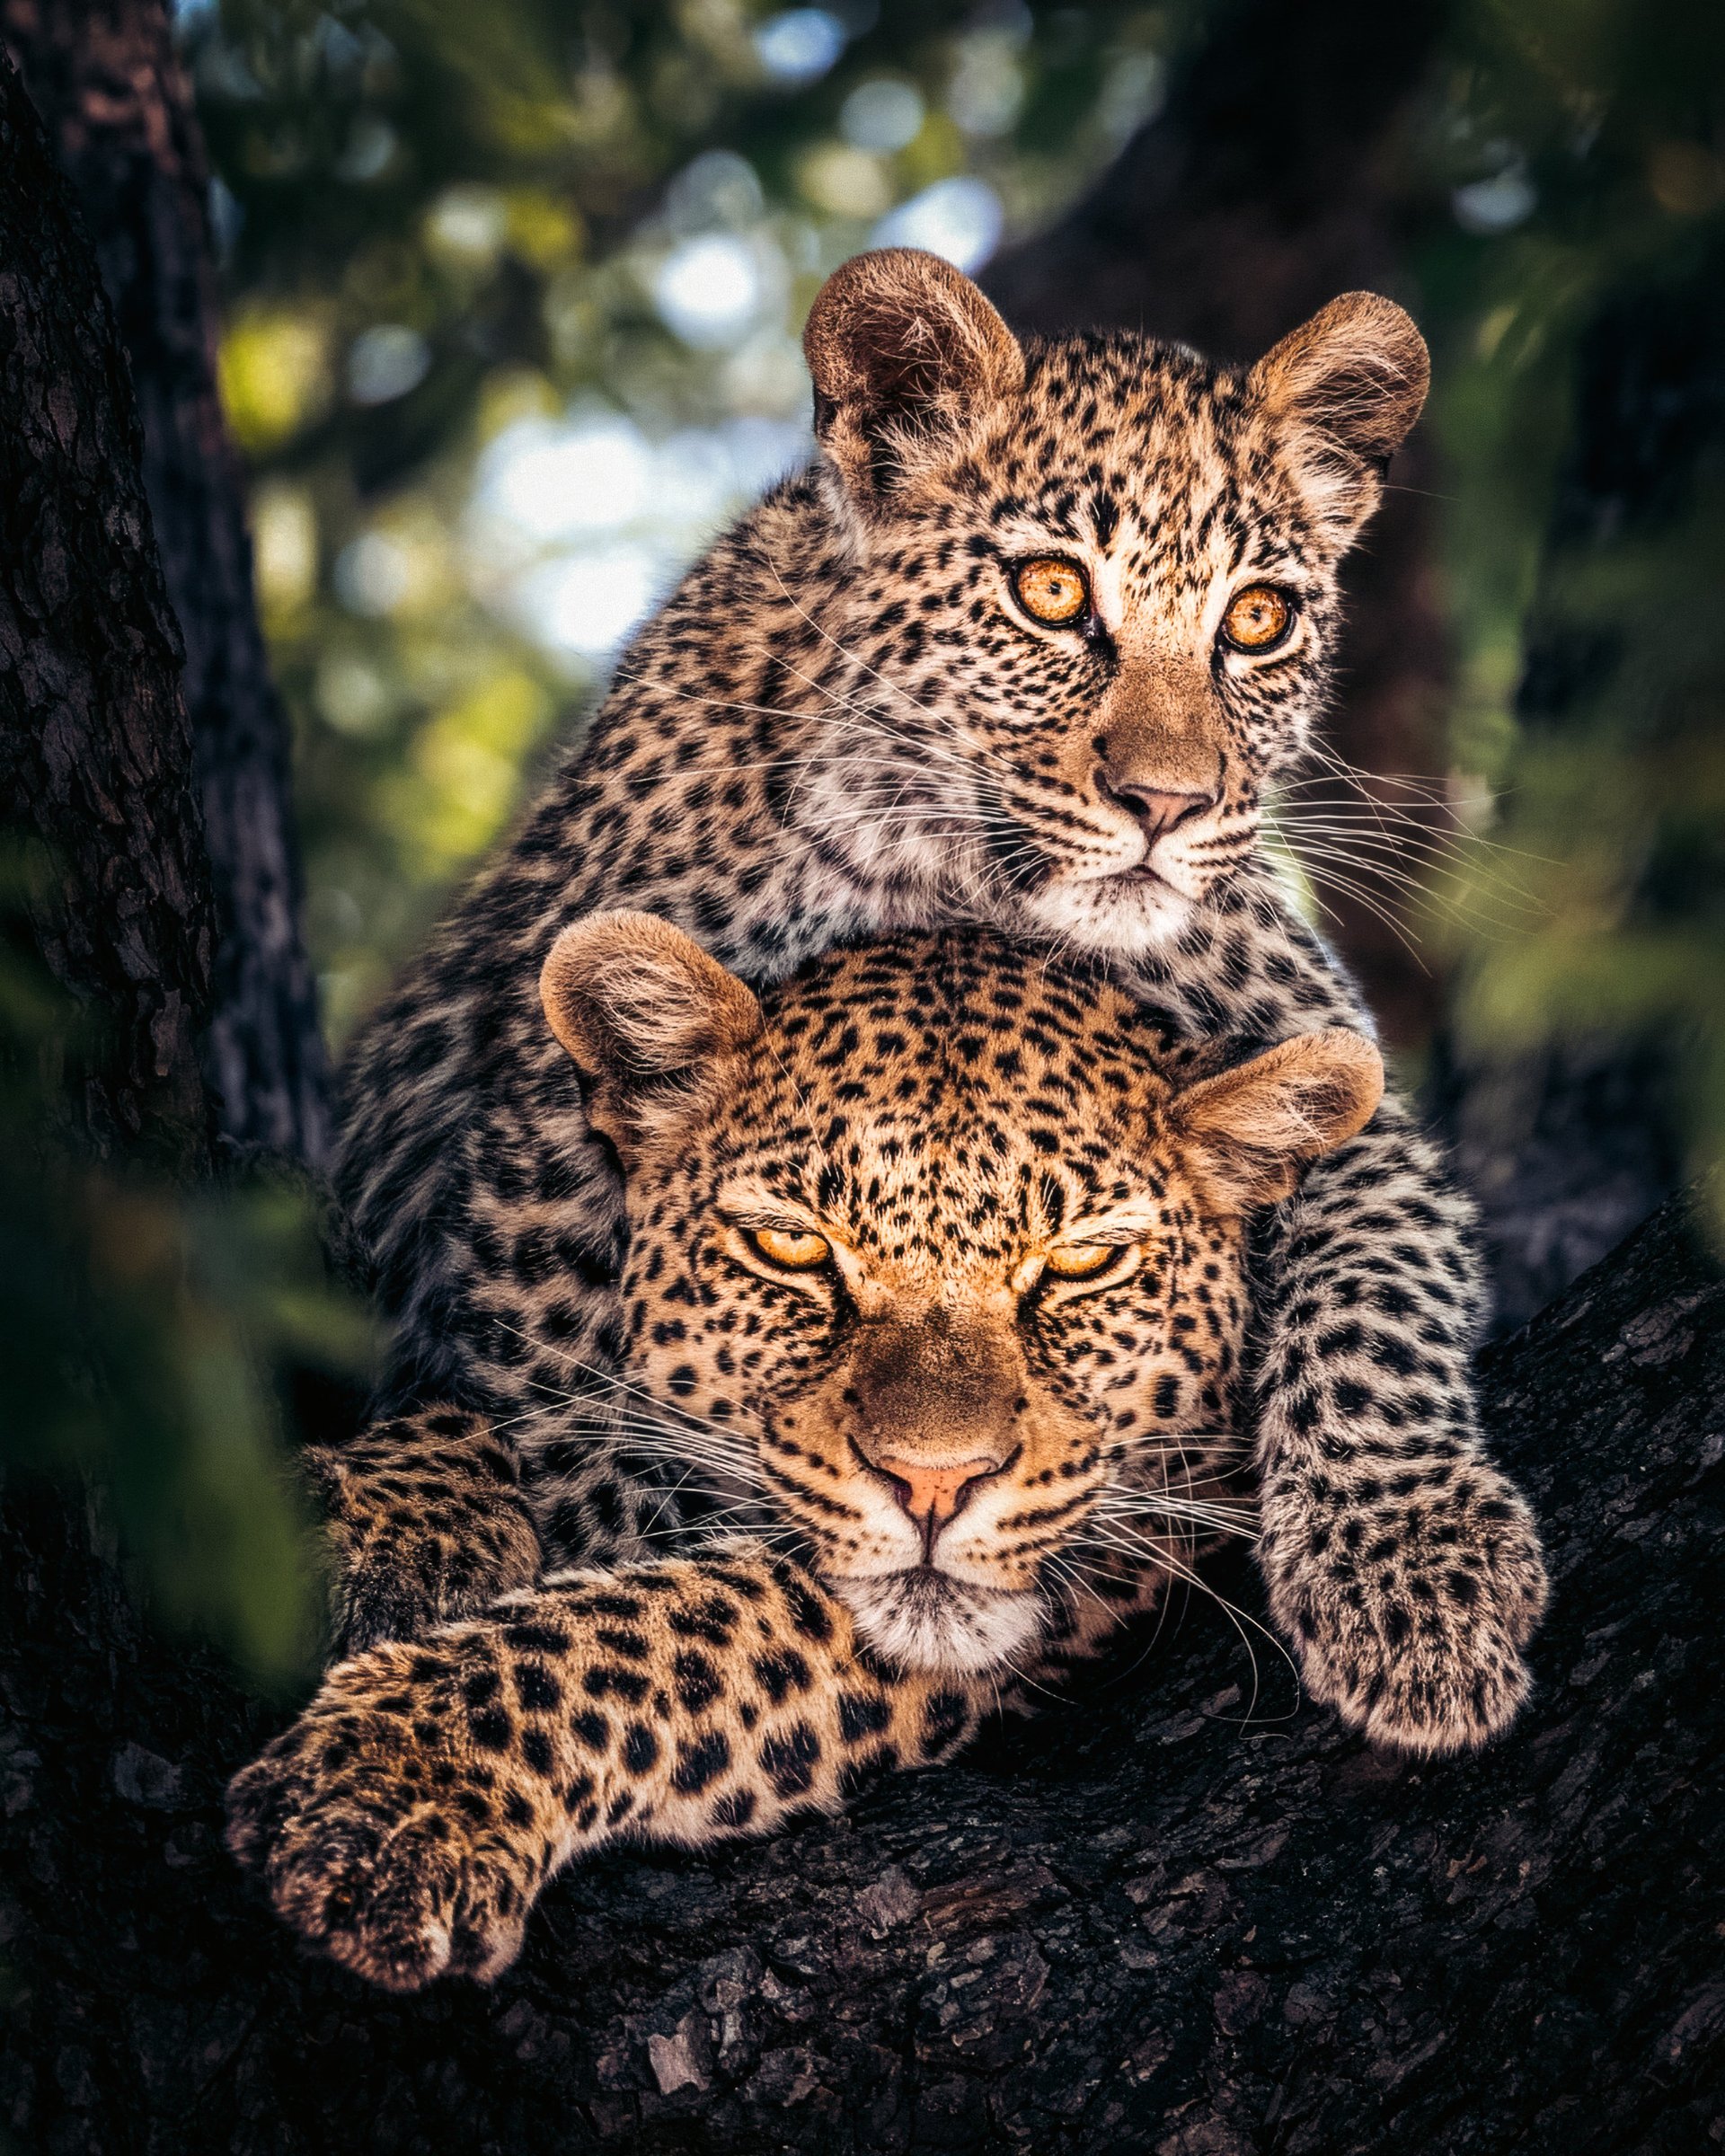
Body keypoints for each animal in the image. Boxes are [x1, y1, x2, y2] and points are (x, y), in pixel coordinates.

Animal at [227, 916, 1395, 1992]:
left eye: (1084, 1263)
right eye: (790, 1245)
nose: (934, 1482)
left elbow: (685, 1628)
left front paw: (396, 1787)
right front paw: (383, 1526)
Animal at [327, 246, 1549, 1760]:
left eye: (1256, 622)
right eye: (1051, 593)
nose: (1169, 806)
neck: (942, 867)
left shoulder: (1297, 1055)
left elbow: (1381, 1279)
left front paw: (1416, 1577)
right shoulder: (553, 1120)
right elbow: (565, 1390)